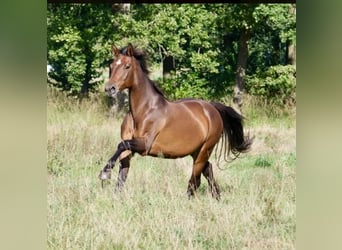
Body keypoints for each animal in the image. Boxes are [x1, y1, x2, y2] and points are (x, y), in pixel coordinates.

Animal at [97, 43, 252, 199]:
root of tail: (212, 109)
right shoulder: (130, 148)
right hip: (196, 151)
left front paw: (104, 173)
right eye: (111, 66)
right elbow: (122, 173)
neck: (144, 111)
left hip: (204, 150)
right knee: (207, 170)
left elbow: (121, 145)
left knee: (195, 180)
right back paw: (217, 197)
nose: (110, 88)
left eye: (127, 66)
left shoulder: (145, 145)